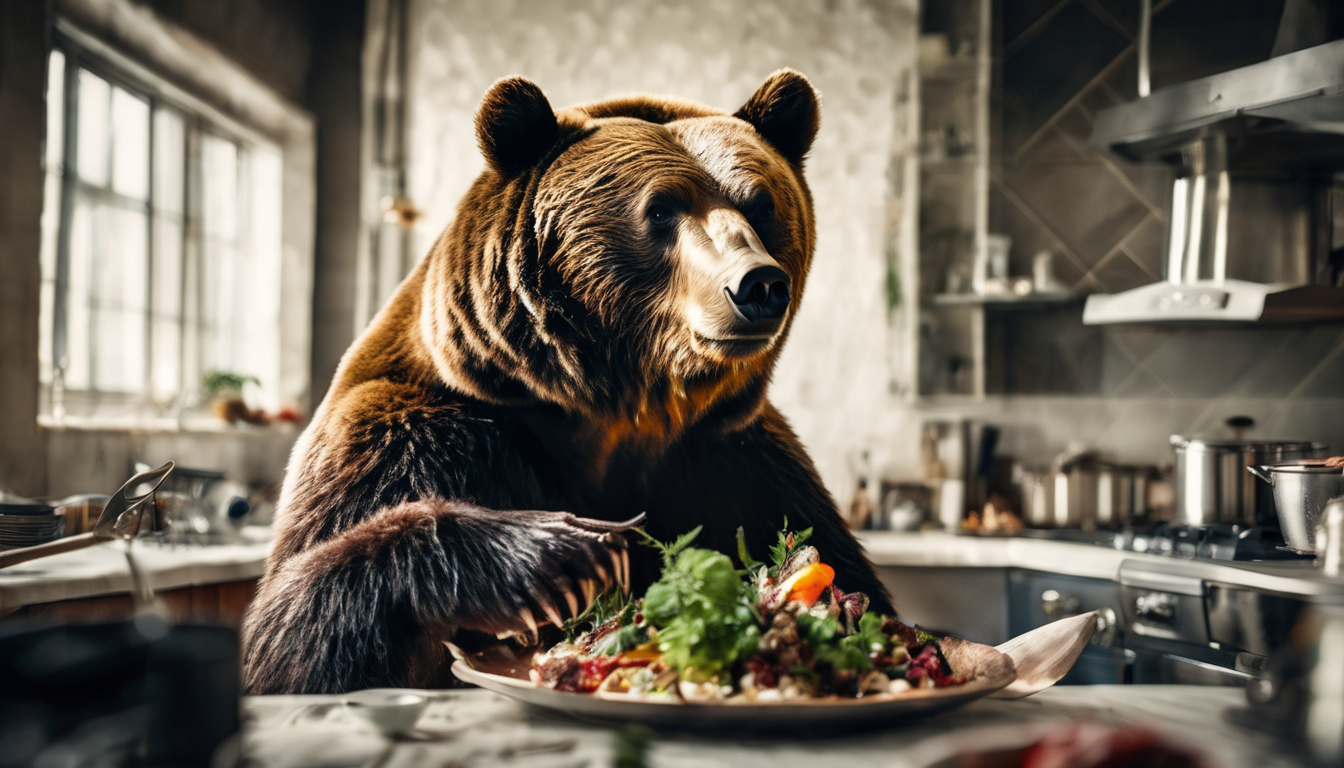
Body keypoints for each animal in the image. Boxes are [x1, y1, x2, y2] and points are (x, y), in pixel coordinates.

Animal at [242, 69, 894, 695]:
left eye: (760, 205)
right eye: (661, 208)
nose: (757, 284)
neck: (615, 414)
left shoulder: (735, 462)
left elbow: (833, 558)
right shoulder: (412, 435)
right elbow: (288, 638)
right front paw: (553, 555)